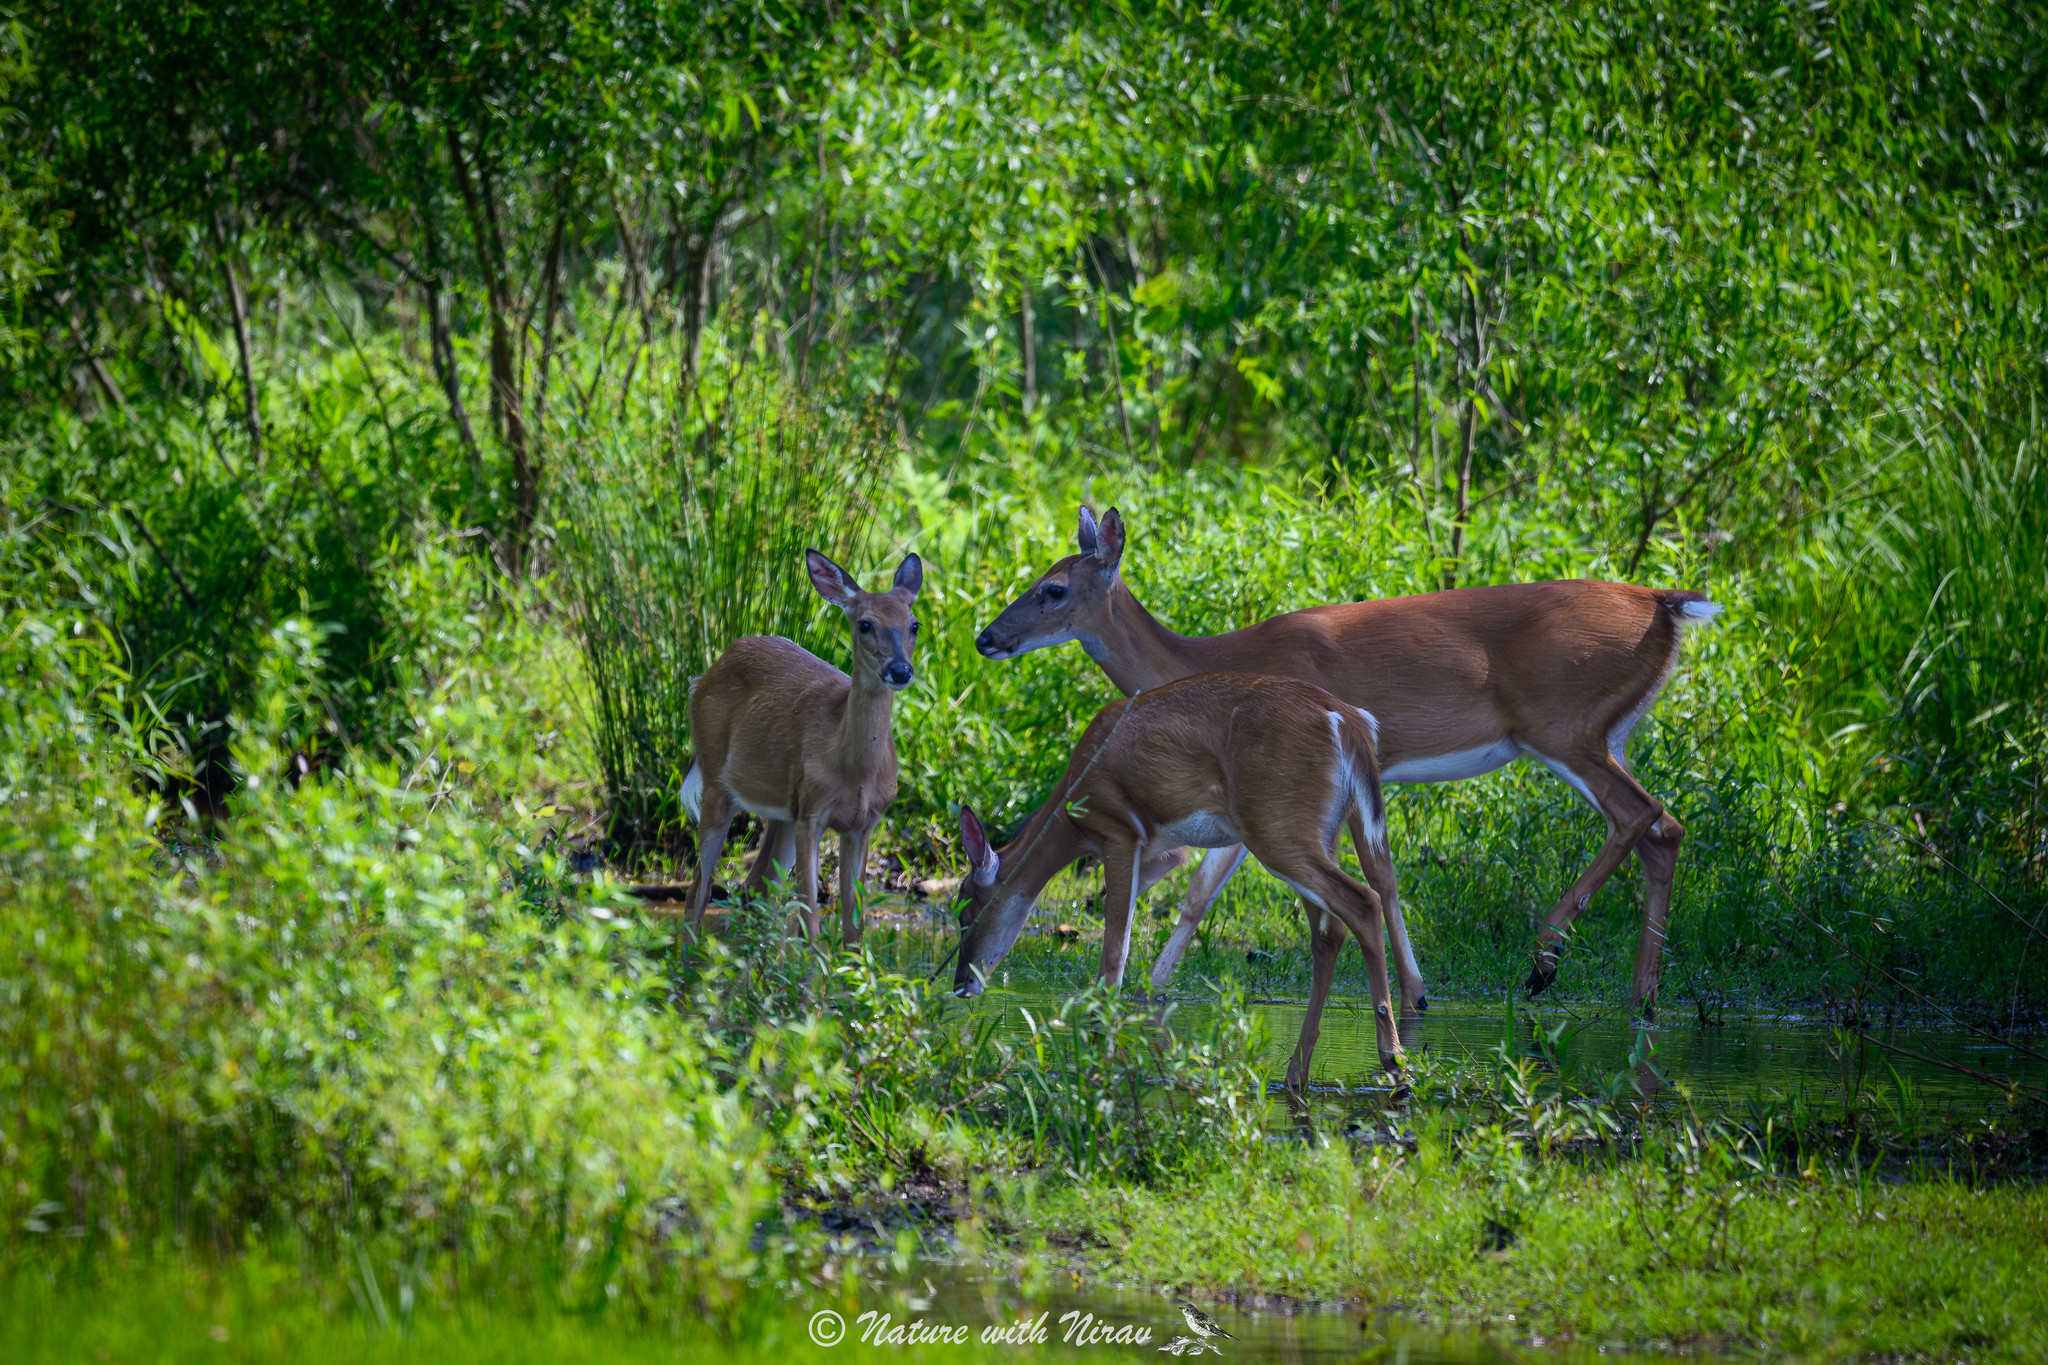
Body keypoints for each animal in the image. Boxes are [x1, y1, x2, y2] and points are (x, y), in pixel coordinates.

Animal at [680, 549, 922, 945]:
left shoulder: (864, 823)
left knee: (756, 887)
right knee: (698, 892)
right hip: (716, 782)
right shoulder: (812, 812)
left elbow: (853, 932)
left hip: (781, 812)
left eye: (914, 624)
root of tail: (703, 675)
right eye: (865, 624)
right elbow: (812, 926)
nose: (900, 670)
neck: (856, 773)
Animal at [951, 672, 1404, 1087]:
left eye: (965, 913)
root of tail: (1349, 720)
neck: (1072, 812)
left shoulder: (1118, 830)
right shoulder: (1160, 850)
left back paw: (1392, 1059)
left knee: (1362, 901)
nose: (959, 985)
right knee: (1328, 933)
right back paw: (1298, 1072)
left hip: (1276, 826)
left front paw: (1098, 1062)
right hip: (1316, 831)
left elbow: (1114, 955)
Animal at [974, 506, 1722, 1018]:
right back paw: (1643, 996)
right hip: (1610, 731)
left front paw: (1411, 997)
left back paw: (1546, 958)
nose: (985, 637)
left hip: (1564, 725)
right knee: (1664, 829)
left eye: (1051, 590)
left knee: (1641, 815)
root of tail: (1664, 603)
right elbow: (1204, 894)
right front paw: (1152, 990)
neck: (1211, 656)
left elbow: (1366, 882)